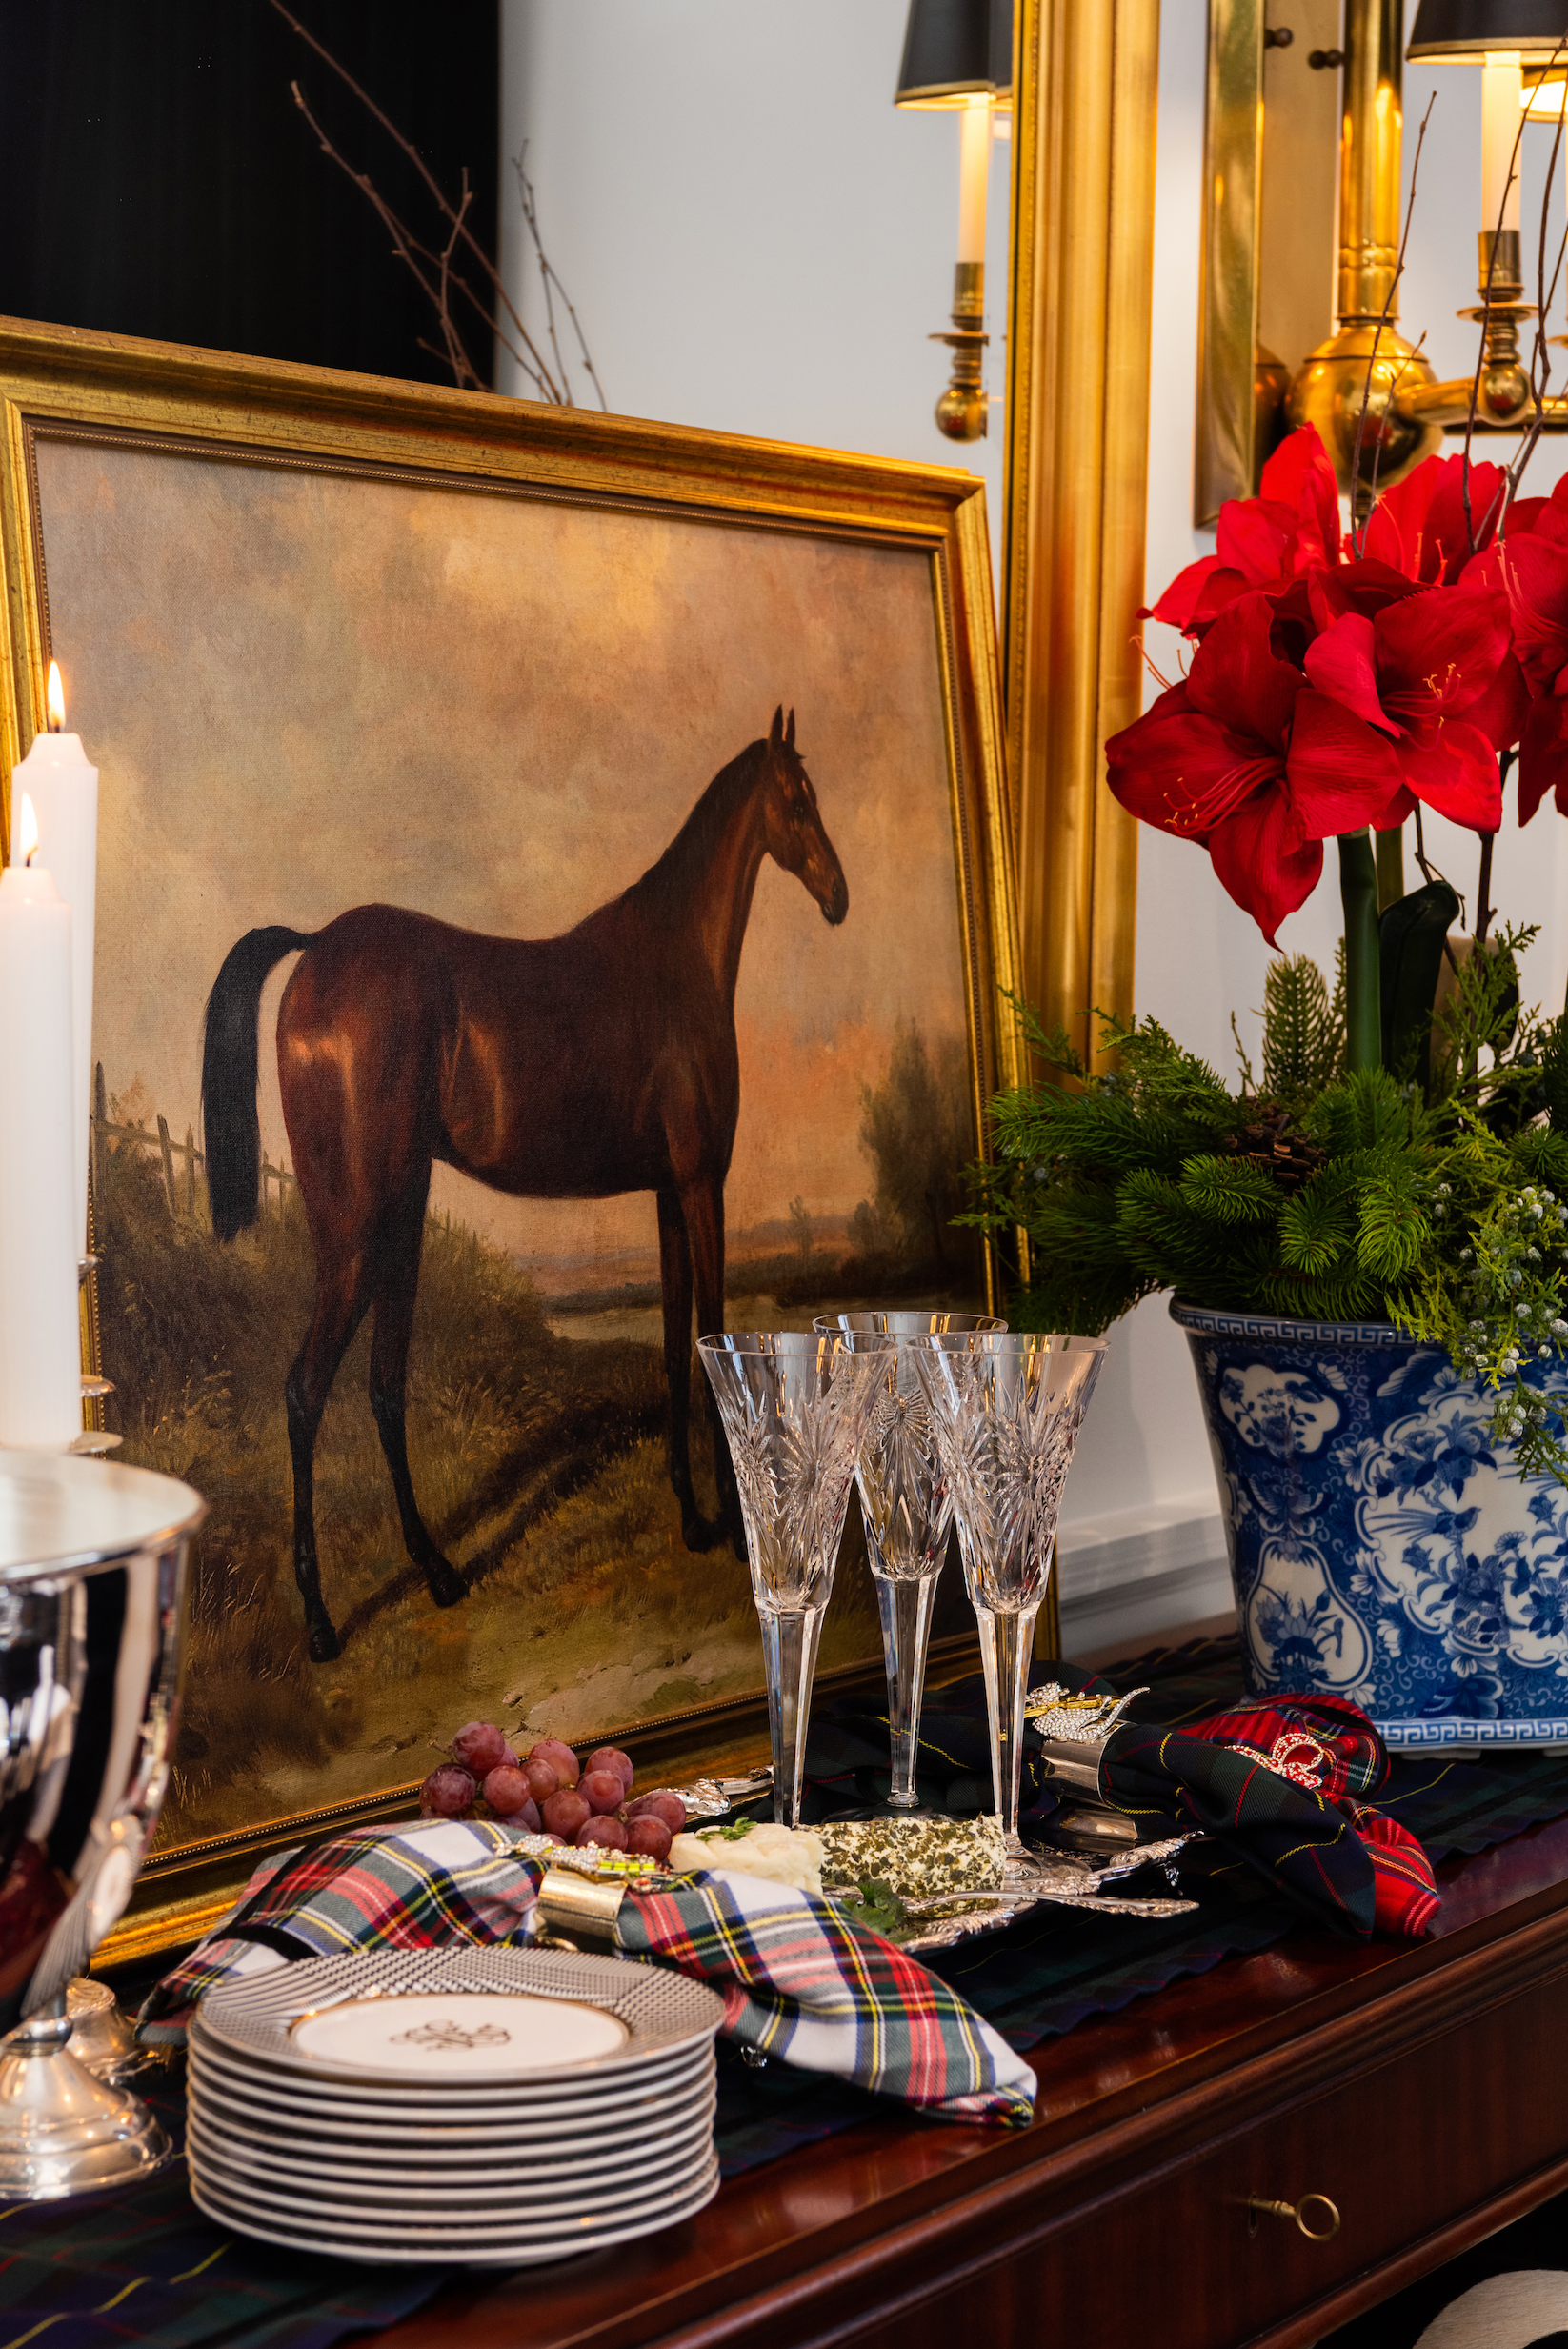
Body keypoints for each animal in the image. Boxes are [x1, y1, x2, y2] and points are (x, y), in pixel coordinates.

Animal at [205, 704, 860, 1662]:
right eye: (797, 796)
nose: (839, 896)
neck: (674, 960)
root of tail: (316, 948)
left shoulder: (667, 1196)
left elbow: (674, 1350)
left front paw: (693, 1519)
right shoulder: (702, 1185)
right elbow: (713, 1345)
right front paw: (739, 1537)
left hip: (400, 1222)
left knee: (383, 1383)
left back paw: (440, 1574)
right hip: (355, 1235)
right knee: (304, 1391)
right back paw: (323, 1623)